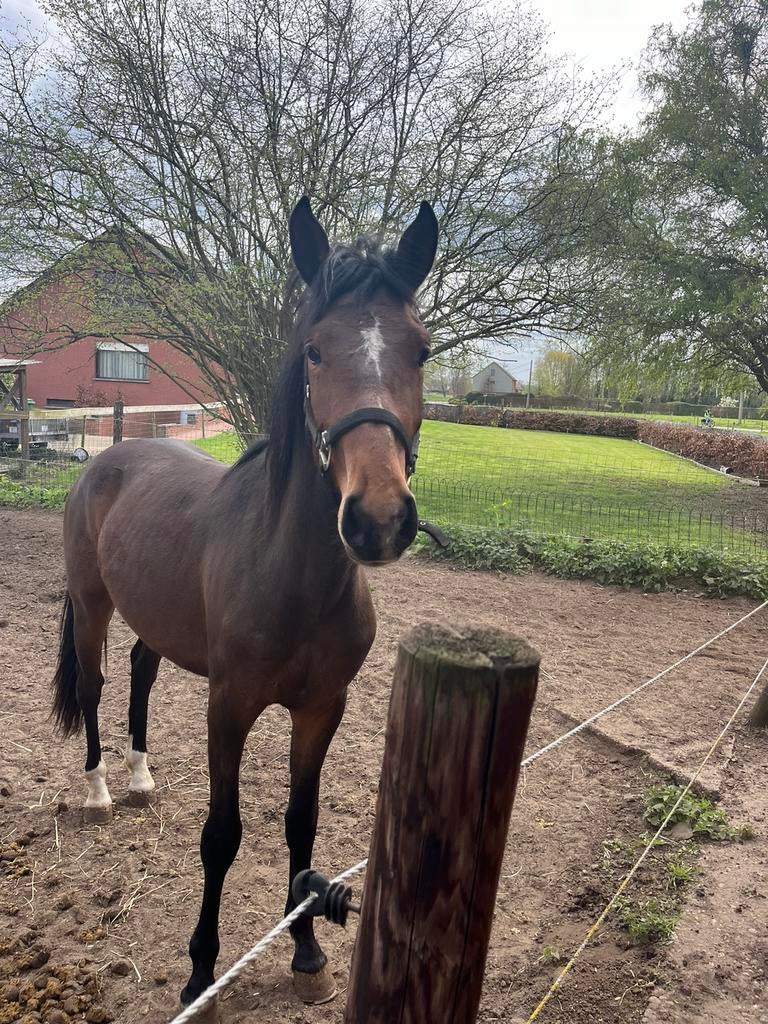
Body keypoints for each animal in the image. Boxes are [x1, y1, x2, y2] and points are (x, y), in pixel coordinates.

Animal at [50, 196, 439, 1007]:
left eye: (420, 351)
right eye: (315, 350)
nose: (378, 518)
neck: (292, 573)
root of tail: (105, 459)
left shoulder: (323, 707)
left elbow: (300, 823)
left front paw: (307, 951)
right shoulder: (228, 705)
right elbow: (222, 834)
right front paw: (201, 967)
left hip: (155, 619)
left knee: (139, 672)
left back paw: (139, 778)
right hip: (93, 603)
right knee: (96, 685)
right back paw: (99, 790)